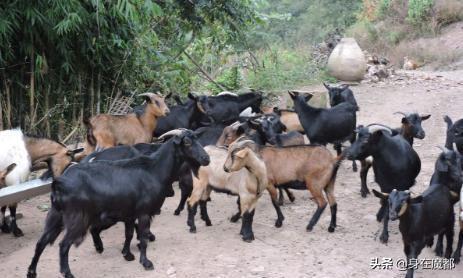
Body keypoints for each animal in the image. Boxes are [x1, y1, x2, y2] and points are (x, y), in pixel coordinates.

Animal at [26, 130, 211, 278]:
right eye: (187, 142)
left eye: (197, 139)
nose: (206, 158)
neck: (155, 170)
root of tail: (59, 183)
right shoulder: (144, 212)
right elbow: (143, 237)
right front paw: (146, 262)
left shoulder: (129, 214)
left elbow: (128, 234)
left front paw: (127, 254)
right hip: (77, 218)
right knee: (63, 245)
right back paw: (67, 273)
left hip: (55, 215)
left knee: (41, 242)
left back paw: (32, 272)